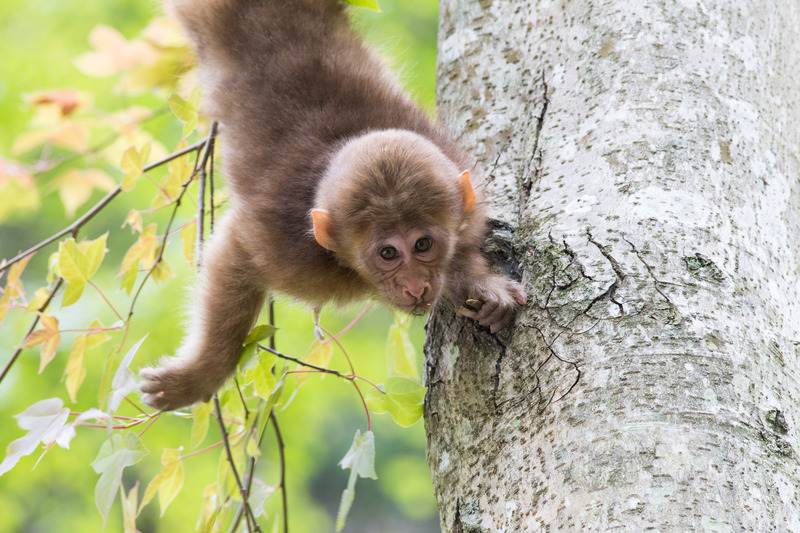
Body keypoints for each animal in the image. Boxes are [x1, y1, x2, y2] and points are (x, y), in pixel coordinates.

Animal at [139, 0, 524, 410]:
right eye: (388, 253)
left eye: (423, 245)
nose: (416, 286)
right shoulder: (293, 256)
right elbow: (234, 254)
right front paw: (202, 374)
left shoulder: (467, 201)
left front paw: (483, 288)